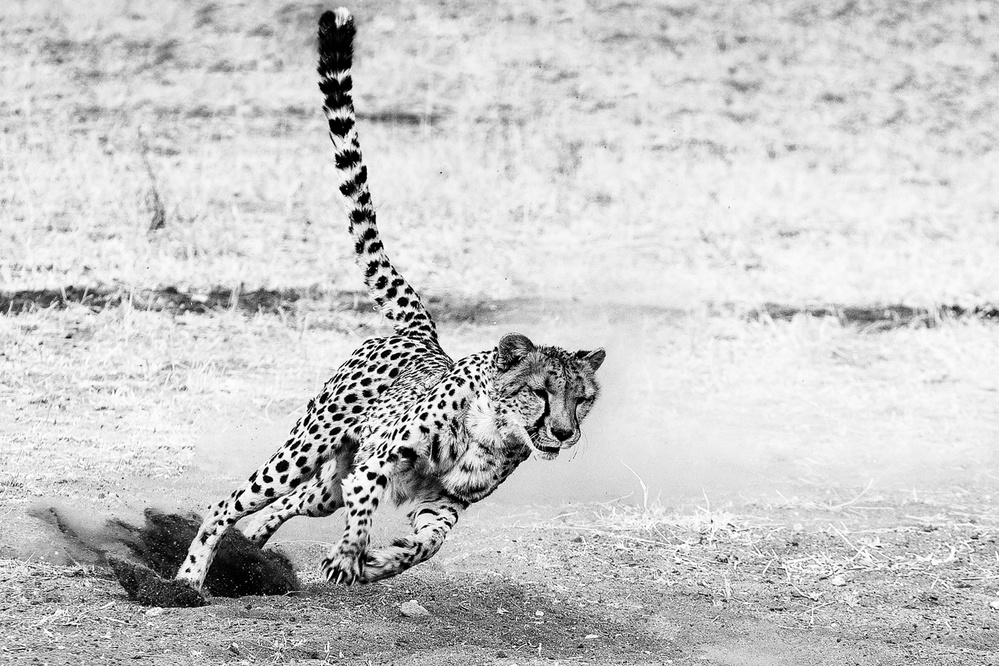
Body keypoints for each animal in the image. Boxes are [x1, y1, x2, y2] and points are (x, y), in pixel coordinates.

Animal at [174, 7, 605, 593]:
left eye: (582, 398)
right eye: (540, 392)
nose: (563, 432)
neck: (492, 429)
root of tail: (419, 334)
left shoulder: (442, 504)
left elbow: (426, 545)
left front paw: (378, 562)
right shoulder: (374, 465)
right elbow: (363, 515)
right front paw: (347, 558)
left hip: (324, 486)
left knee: (286, 506)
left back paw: (253, 554)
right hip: (307, 450)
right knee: (232, 502)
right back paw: (191, 576)